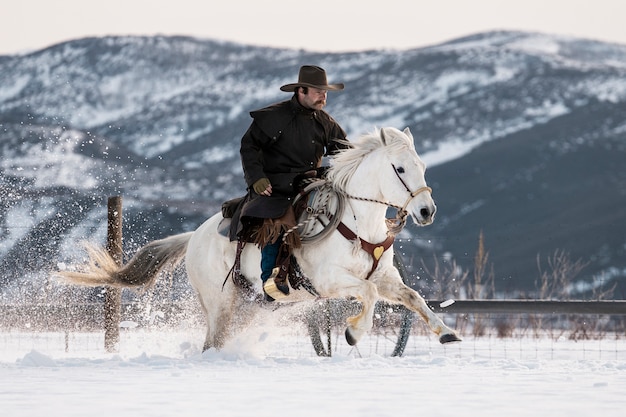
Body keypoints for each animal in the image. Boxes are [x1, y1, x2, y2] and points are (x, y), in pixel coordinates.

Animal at [62, 127, 458, 352]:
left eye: (422, 165)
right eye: (400, 168)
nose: (427, 211)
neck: (357, 223)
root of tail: (194, 238)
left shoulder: (386, 277)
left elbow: (412, 297)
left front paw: (446, 332)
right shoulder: (330, 281)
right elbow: (369, 294)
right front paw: (354, 333)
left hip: (248, 305)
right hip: (220, 303)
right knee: (213, 341)